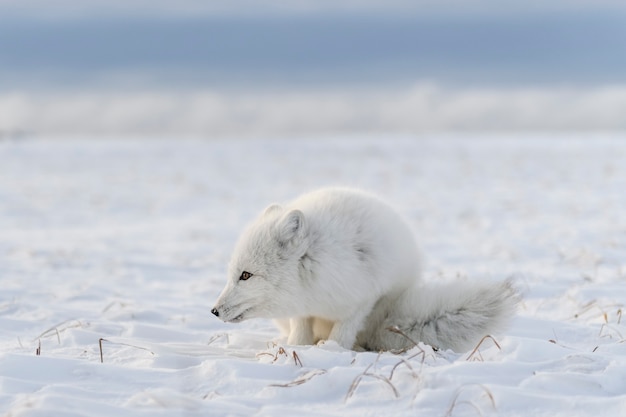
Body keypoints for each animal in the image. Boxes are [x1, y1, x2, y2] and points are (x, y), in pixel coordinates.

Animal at [211, 188, 516, 352]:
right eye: (233, 273)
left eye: (246, 275)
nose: (213, 311)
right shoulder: (302, 308)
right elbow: (301, 330)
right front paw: (297, 348)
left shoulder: (364, 298)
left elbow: (344, 331)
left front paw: (333, 350)